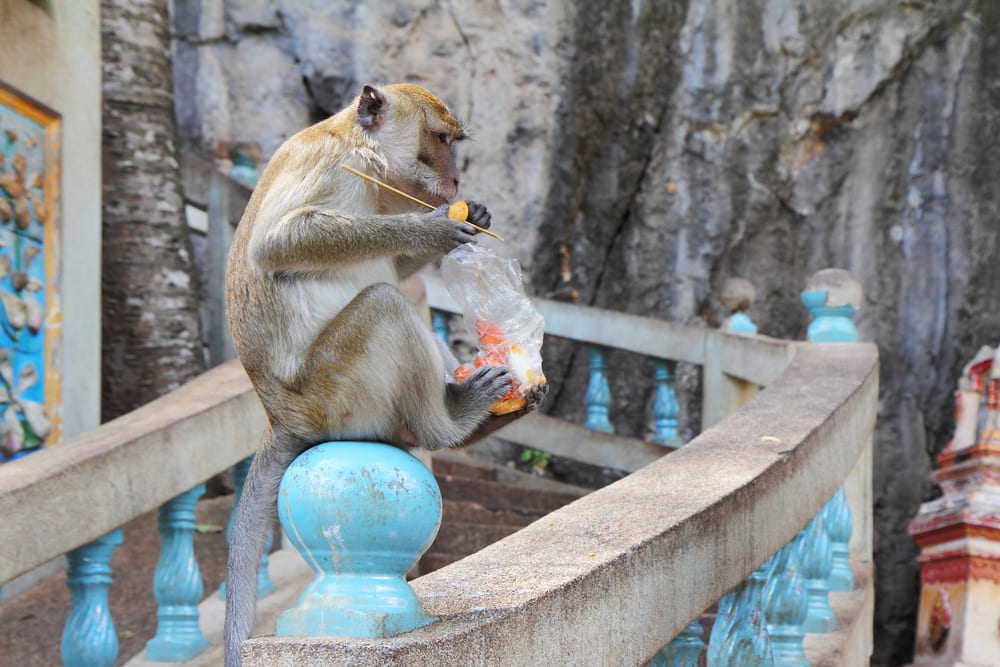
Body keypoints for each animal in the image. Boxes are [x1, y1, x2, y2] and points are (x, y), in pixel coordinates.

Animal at [225, 85, 548, 667]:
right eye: (441, 140)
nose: (457, 180)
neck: (359, 152)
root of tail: (283, 419)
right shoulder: (329, 167)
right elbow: (280, 242)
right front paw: (432, 227)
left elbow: (395, 267)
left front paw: (469, 214)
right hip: (336, 394)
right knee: (385, 305)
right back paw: (451, 425)